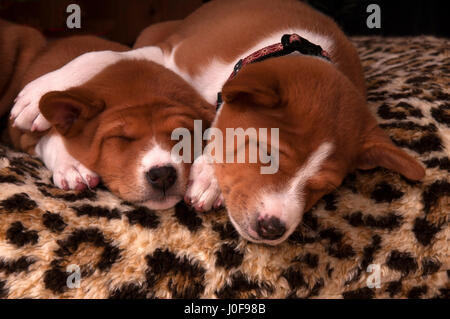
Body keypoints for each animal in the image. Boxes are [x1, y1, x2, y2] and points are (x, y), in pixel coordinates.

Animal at [10, 0, 426, 245]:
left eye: (325, 187)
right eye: (265, 152)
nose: (273, 228)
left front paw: (209, 178)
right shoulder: (165, 56)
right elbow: (102, 56)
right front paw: (35, 94)